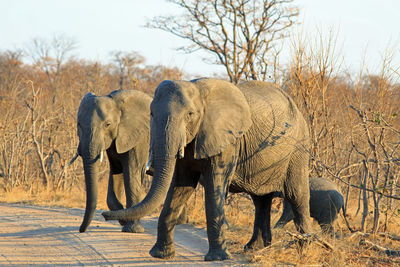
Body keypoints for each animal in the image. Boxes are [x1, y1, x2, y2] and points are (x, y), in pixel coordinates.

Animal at [72, 89, 152, 233]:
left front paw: (132, 229)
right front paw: (122, 219)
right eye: (78, 124)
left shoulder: (140, 138)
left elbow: (133, 173)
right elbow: (116, 171)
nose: (81, 230)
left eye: (107, 124)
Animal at [101, 78, 312, 262]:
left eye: (190, 115)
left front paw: (218, 258)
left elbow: (213, 186)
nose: (104, 215)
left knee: (297, 195)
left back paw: (304, 248)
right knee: (260, 200)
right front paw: (161, 255)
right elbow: (181, 185)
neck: (198, 90)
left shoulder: (226, 140)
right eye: (151, 114)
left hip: (297, 150)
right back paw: (254, 248)